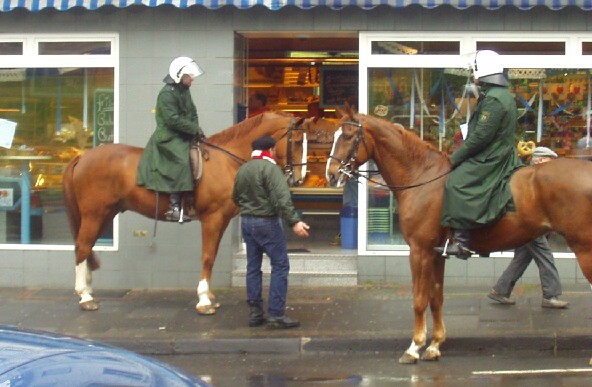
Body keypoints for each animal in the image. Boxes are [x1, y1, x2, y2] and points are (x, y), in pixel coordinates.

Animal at [63, 111, 306, 316]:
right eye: (296, 141)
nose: (298, 179)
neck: (227, 160)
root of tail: (83, 157)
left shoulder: (222, 220)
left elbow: (212, 255)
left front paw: (209, 296)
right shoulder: (212, 218)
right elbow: (207, 256)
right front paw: (204, 300)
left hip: (105, 215)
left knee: (87, 247)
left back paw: (88, 290)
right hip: (95, 214)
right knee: (82, 247)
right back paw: (85, 296)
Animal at [328, 108, 592, 364]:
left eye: (348, 136)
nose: (331, 174)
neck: (421, 177)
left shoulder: (419, 251)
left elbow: (419, 299)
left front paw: (414, 347)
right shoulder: (436, 254)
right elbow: (436, 297)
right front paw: (435, 345)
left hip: (584, 249)